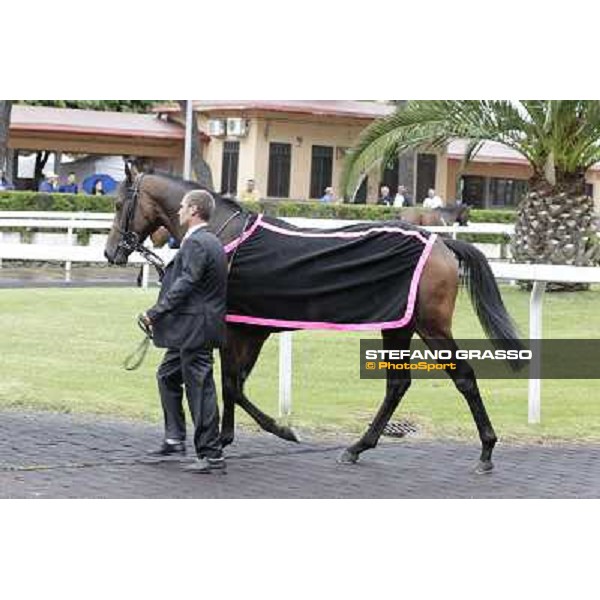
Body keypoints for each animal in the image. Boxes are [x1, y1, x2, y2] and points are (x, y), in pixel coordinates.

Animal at [105, 169, 524, 474]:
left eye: (119, 202)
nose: (111, 252)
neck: (226, 236)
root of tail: (440, 242)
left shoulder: (239, 330)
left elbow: (232, 385)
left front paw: (280, 431)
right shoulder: (250, 331)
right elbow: (233, 385)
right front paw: (225, 439)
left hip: (431, 325)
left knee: (463, 377)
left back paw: (486, 451)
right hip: (399, 325)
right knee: (397, 384)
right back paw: (357, 447)